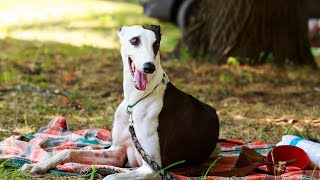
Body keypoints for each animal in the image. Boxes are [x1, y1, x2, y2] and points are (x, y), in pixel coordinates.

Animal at [20, 24, 220, 179]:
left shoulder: (151, 168)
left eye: (156, 44)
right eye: (134, 40)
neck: (135, 102)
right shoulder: (116, 153)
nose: (149, 67)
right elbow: (69, 151)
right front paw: (38, 165)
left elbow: (111, 176)